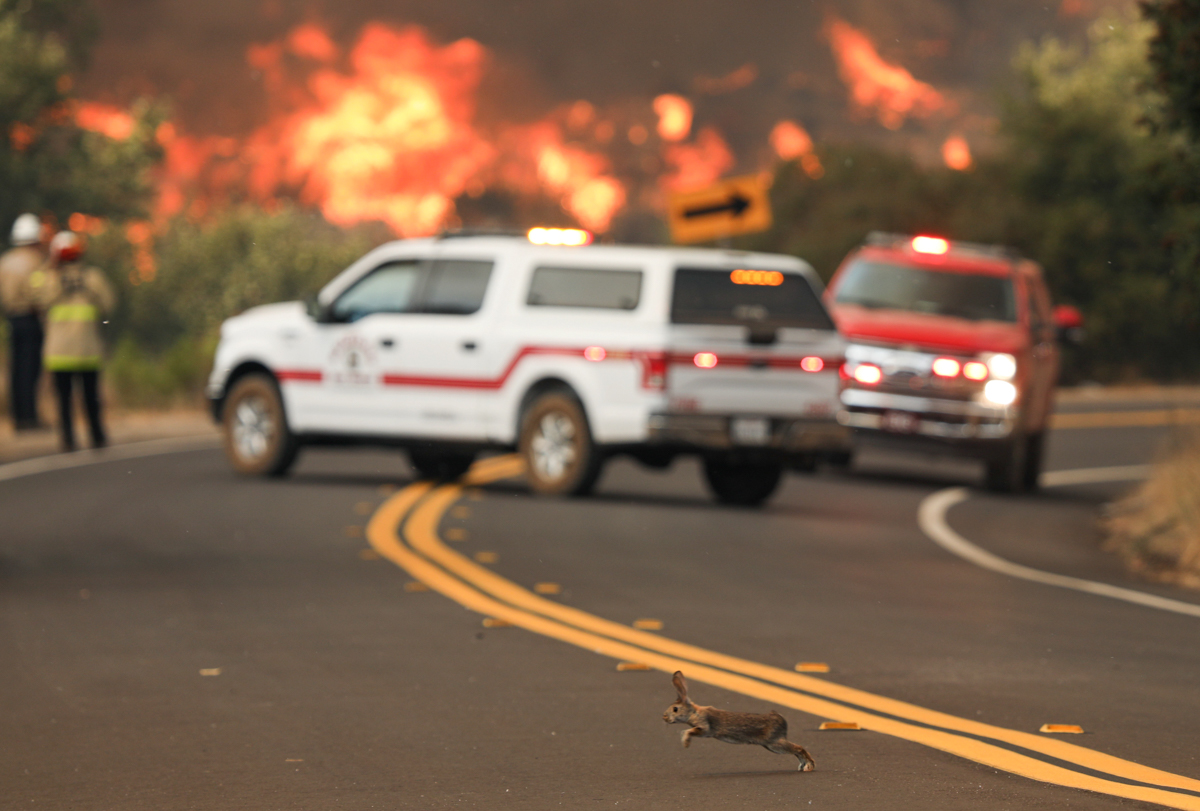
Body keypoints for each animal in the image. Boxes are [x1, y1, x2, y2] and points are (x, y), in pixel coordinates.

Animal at [662, 671, 815, 772]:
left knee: (798, 748)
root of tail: (781, 719)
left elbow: (688, 731)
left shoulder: (704, 727)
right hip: (770, 745)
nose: (664, 717)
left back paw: (809, 766)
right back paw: (803, 766)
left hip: (774, 744)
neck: (694, 712)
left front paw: (685, 743)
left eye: (675, 709)